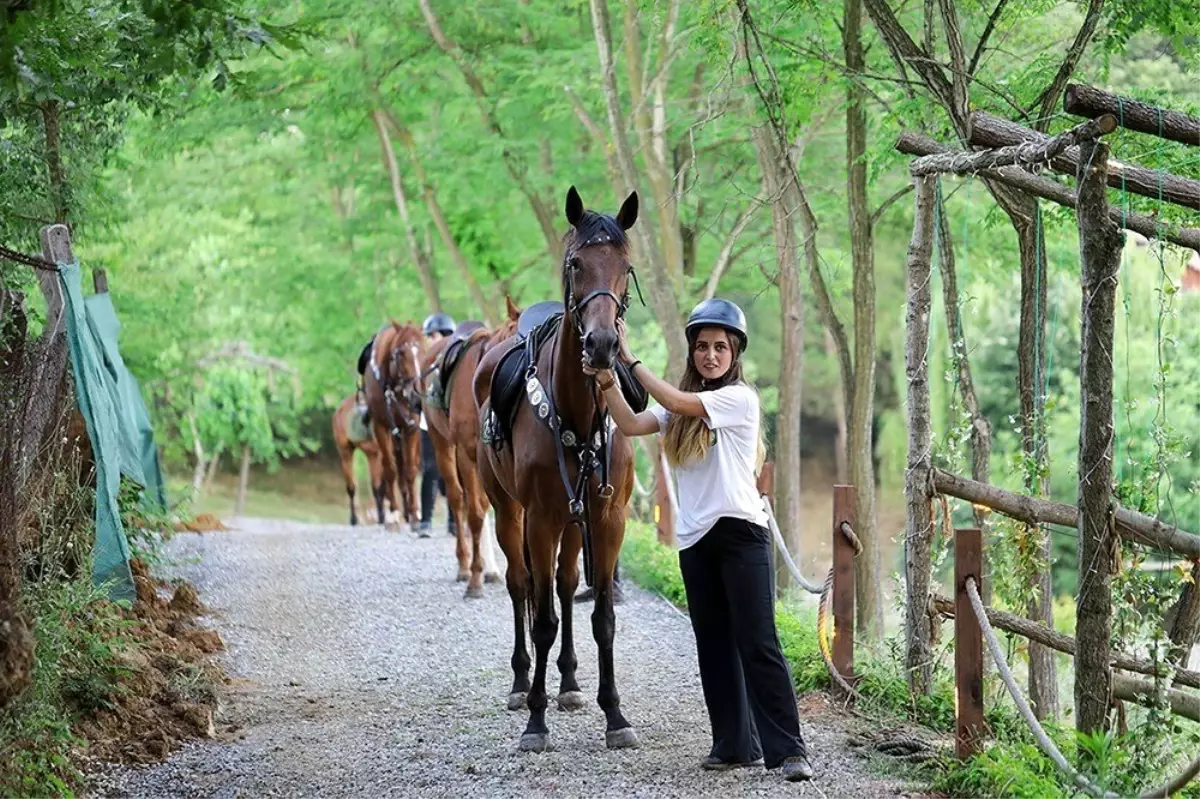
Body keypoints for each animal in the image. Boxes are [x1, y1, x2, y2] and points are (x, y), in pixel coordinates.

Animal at [360, 316, 427, 527]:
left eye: (423, 351)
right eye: (400, 353)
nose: (415, 394)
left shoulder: (410, 427)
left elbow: (410, 471)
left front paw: (414, 513)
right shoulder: (381, 427)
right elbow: (390, 470)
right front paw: (395, 513)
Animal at [420, 297, 523, 590]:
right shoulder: (466, 454)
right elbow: (475, 513)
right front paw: (475, 577)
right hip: (441, 443)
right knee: (458, 499)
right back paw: (465, 567)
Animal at [475, 188, 648, 753]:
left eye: (625, 267)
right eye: (576, 264)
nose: (602, 345)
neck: (575, 411)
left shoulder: (608, 517)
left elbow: (602, 615)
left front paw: (614, 713)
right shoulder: (541, 517)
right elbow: (542, 617)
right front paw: (535, 719)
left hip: (577, 519)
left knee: (567, 584)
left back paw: (569, 681)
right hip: (511, 511)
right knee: (521, 585)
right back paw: (521, 681)